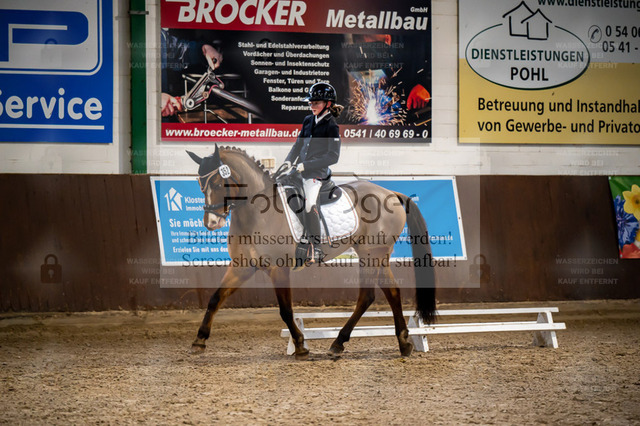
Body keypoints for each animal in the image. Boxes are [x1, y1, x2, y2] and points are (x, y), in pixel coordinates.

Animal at [187, 145, 436, 359]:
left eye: (217, 183)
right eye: (200, 184)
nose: (211, 222)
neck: (256, 211)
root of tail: (389, 193)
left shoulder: (278, 269)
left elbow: (286, 310)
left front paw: (300, 345)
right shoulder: (242, 266)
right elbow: (215, 298)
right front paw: (199, 341)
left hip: (371, 254)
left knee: (367, 296)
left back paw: (339, 343)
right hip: (377, 255)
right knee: (391, 292)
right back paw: (403, 343)